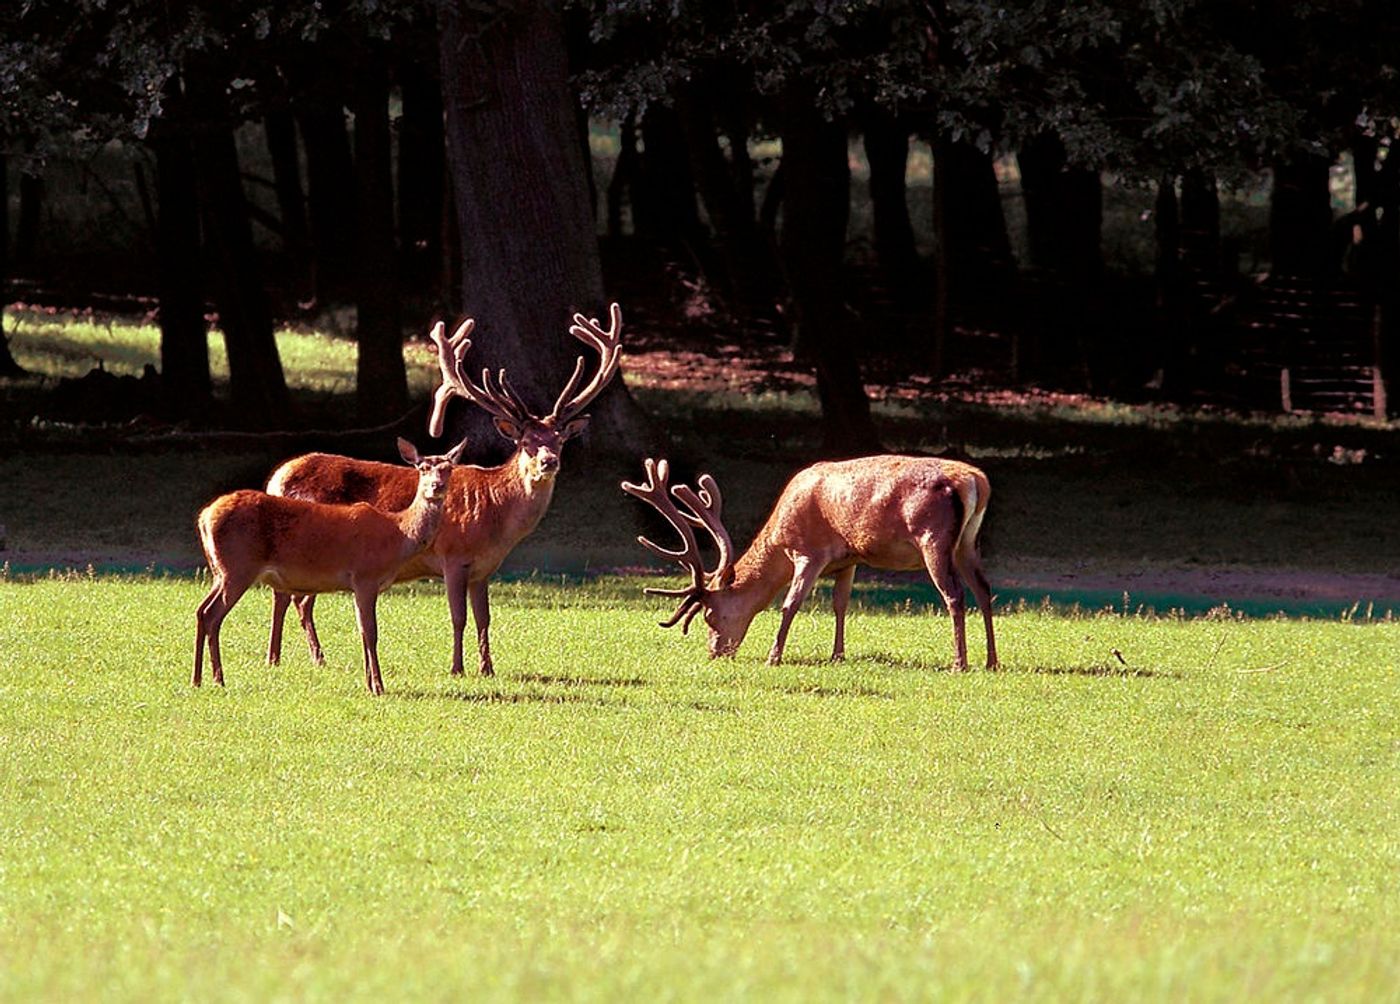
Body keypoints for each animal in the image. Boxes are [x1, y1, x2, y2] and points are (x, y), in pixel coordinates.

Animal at [191, 434, 467, 694]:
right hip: (238, 567)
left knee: (201, 610)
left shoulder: (359, 585)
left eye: (448, 468)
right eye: (423, 468)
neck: (399, 534)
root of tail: (204, 517)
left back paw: (198, 679)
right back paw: (218, 678)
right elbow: (371, 631)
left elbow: (362, 631)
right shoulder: (365, 576)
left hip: (221, 571)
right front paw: (378, 686)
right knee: (212, 614)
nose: (437, 486)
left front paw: (369, 683)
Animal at [266, 301, 624, 677]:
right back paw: (290, 656)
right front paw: (456, 668)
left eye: (559, 440)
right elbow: (458, 617)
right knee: (292, 597)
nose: (548, 462)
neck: (496, 515)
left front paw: (487, 668)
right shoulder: (454, 556)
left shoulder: (484, 569)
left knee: (293, 596)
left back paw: (301, 657)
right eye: (525, 442)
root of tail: (277, 478)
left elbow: (484, 618)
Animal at [621, 453, 996, 666]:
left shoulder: (808, 552)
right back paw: (991, 661)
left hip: (932, 537)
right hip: (967, 543)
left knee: (954, 595)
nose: (716, 653)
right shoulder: (848, 559)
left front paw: (773, 656)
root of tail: (975, 481)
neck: (779, 538)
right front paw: (837, 655)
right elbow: (840, 604)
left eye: (709, 615)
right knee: (984, 590)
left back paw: (960, 662)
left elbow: (790, 604)